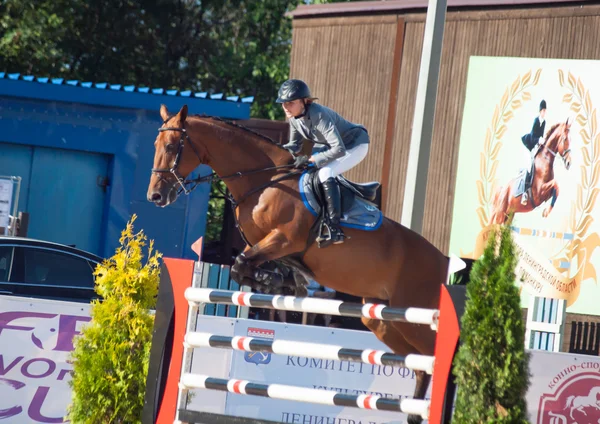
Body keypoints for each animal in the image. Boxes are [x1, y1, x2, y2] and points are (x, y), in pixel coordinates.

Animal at [148, 103, 452, 424]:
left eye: (172, 146)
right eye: (155, 144)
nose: (155, 195)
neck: (263, 182)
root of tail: (443, 260)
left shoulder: (283, 239)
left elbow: (242, 264)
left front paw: (273, 281)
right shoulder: (262, 245)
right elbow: (243, 266)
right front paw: (279, 281)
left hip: (414, 315)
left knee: (432, 355)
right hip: (382, 318)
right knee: (419, 364)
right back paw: (415, 415)